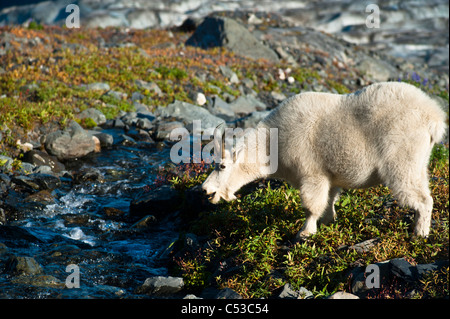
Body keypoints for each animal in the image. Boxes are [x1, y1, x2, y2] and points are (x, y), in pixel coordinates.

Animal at [203, 81, 446, 241]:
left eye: (222, 166)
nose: (206, 190)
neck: (271, 144)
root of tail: (433, 118)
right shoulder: (330, 176)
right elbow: (329, 200)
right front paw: (330, 221)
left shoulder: (312, 174)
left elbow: (312, 205)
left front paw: (305, 232)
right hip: (419, 163)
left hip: (403, 161)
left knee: (423, 199)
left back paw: (420, 234)